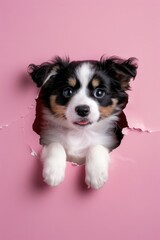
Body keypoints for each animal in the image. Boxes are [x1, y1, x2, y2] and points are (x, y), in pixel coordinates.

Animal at [28, 56, 137, 189]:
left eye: (99, 92)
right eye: (67, 91)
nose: (82, 110)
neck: (79, 134)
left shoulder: (110, 144)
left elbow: (96, 146)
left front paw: (96, 176)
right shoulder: (47, 139)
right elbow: (55, 145)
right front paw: (53, 173)